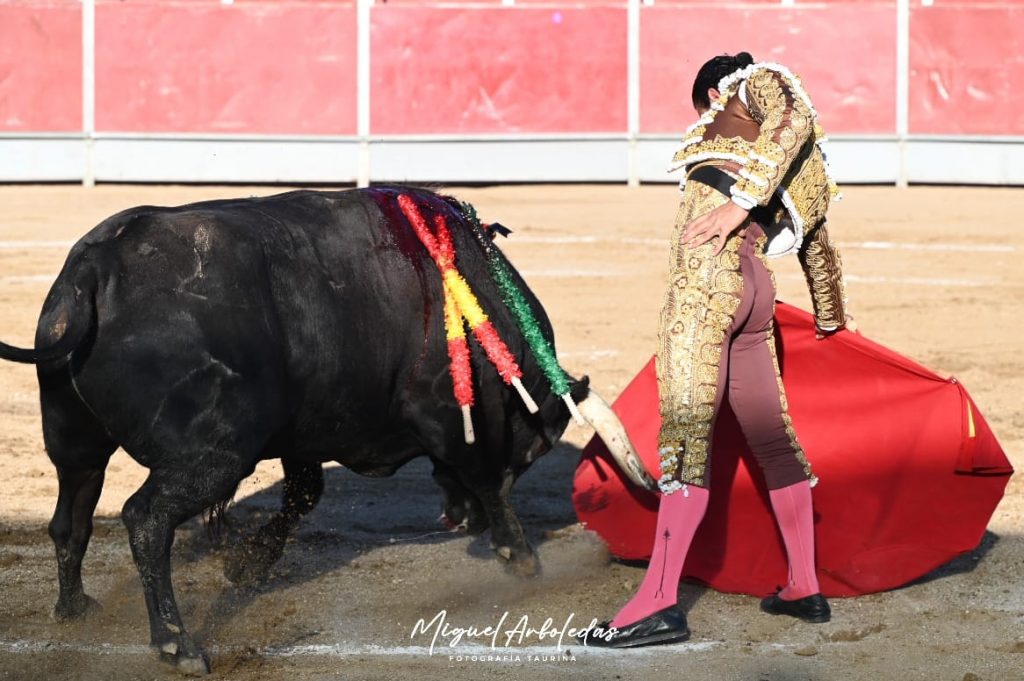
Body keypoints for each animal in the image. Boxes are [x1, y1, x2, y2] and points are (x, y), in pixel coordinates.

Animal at [0, 186, 651, 675]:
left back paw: (73, 608)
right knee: (145, 518)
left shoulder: (306, 432)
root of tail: (94, 269)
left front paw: (248, 566)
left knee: (72, 519)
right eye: (535, 447)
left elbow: (305, 494)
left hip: (75, 443)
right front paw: (519, 555)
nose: (457, 518)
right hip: (214, 454)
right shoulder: (444, 413)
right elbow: (485, 475)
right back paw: (177, 644)